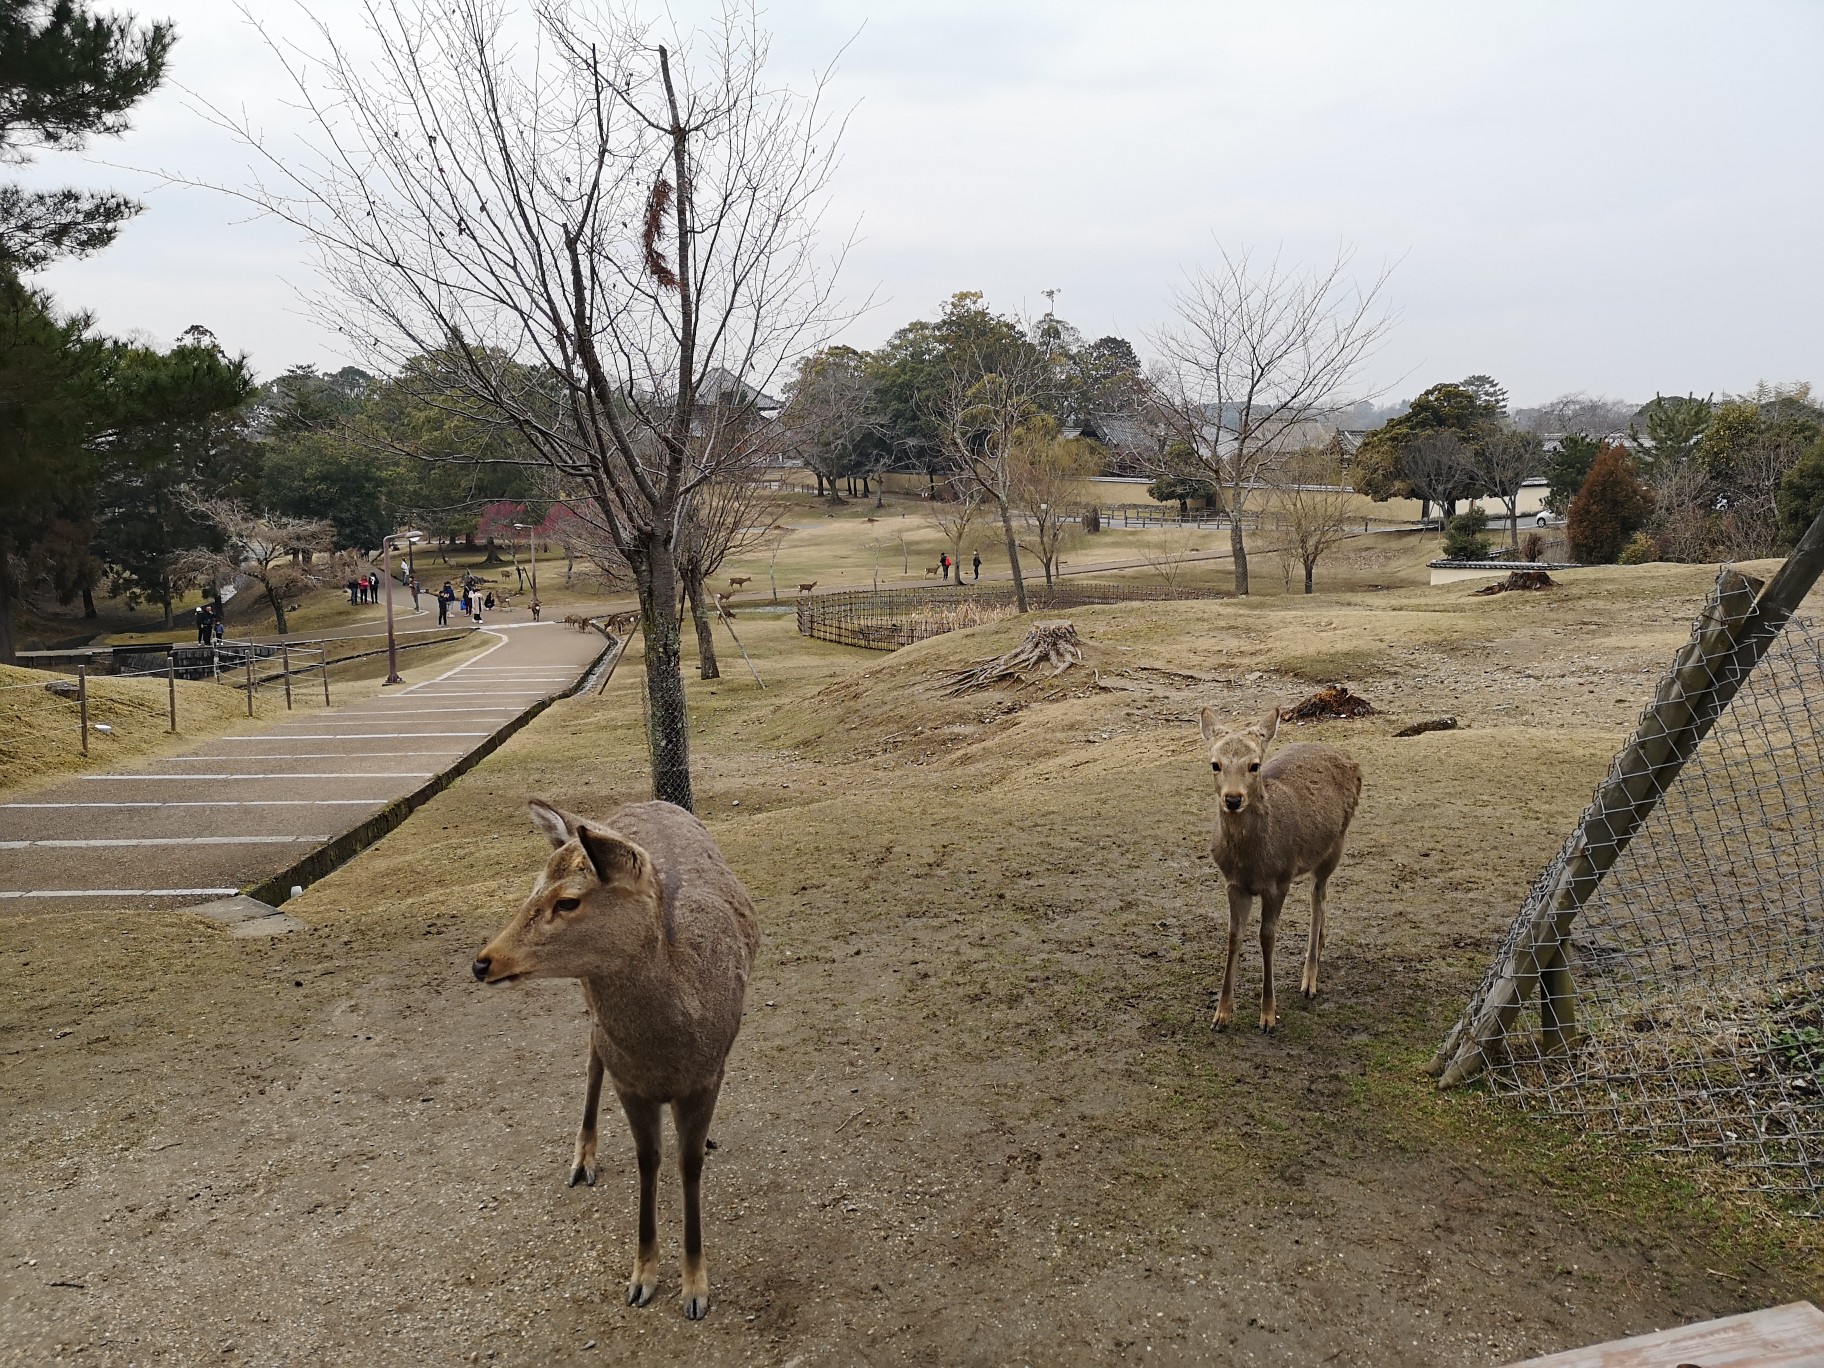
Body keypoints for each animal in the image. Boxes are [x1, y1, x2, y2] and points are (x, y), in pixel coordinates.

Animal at [474, 798, 758, 1320]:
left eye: (568, 900)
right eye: (533, 886)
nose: (483, 962)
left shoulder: (709, 1074)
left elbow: (688, 1163)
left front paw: (695, 1289)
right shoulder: (631, 1083)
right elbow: (649, 1160)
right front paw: (643, 1278)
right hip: (588, 999)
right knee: (591, 1057)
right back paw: (582, 1158)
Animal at [1203, 711, 1364, 1036]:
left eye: (1255, 765)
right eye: (1215, 764)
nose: (1233, 799)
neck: (1252, 861)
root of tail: (1350, 758)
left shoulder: (1279, 881)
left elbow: (1267, 937)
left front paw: (1267, 1017)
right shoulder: (1233, 884)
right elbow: (1234, 936)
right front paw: (1221, 1015)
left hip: (1336, 844)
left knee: (1318, 896)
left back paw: (1309, 979)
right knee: (1322, 895)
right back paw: (1321, 946)